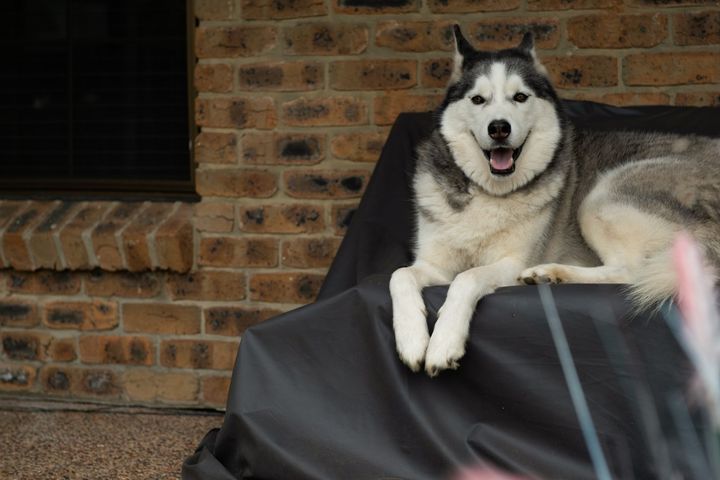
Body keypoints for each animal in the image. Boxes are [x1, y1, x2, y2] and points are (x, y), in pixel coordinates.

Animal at [390, 26, 720, 376]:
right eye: (478, 99)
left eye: (520, 97)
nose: (499, 128)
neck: (489, 191)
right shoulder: (433, 264)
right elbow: (399, 275)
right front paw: (412, 340)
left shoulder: (512, 262)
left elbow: (467, 278)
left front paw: (444, 343)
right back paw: (549, 276)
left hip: (600, 197)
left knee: (630, 272)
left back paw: (550, 272)